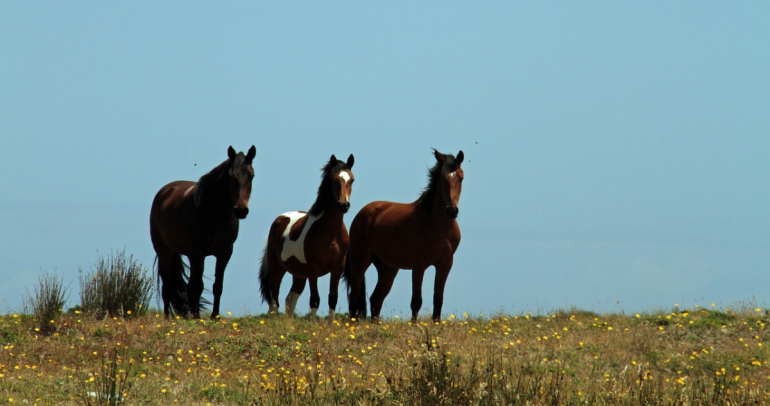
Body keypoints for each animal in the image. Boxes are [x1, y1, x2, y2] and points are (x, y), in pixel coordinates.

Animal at [150, 145, 256, 319]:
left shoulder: (224, 253)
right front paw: (197, 317)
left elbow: (217, 286)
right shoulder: (198, 254)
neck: (214, 213)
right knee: (168, 285)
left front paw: (214, 316)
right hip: (165, 251)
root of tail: (165, 192)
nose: (241, 210)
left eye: (251, 176)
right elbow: (198, 285)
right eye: (232, 176)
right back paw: (167, 317)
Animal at [258, 154, 354, 321]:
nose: (343, 205)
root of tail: (279, 219)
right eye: (333, 179)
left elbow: (332, 298)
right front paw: (313, 323)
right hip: (277, 268)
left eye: (352, 180)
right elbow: (315, 300)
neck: (331, 235)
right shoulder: (313, 270)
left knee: (290, 300)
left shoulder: (337, 267)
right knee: (274, 301)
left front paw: (330, 324)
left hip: (299, 275)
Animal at [344, 149, 464, 322]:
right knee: (354, 297)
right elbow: (416, 301)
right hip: (360, 262)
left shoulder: (445, 264)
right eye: (443, 178)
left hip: (388, 269)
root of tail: (362, 213)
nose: (452, 210)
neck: (439, 227)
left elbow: (438, 299)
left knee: (376, 299)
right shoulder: (419, 265)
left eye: (461, 177)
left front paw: (436, 324)